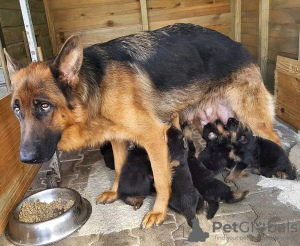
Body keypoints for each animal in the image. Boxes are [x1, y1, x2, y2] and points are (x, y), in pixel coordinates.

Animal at [4, 23, 280, 229]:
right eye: (16, 109)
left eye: (44, 106)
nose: (25, 159)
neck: (96, 85)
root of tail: (240, 46)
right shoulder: (117, 137)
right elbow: (118, 168)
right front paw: (116, 191)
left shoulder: (154, 138)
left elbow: (161, 180)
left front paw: (158, 211)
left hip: (254, 119)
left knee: (274, 139)